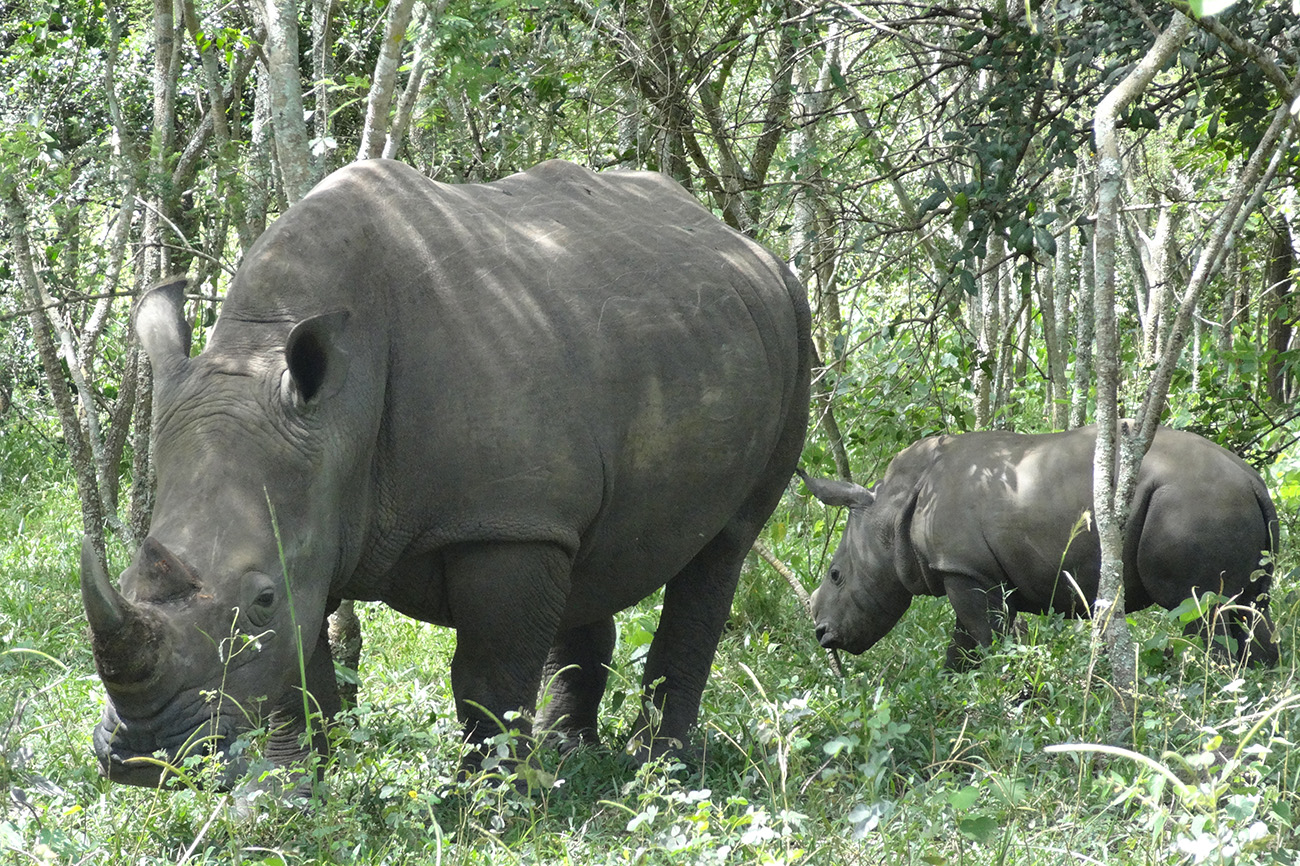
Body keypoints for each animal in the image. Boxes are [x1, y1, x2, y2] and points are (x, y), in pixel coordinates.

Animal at [81, 158, 806, 785]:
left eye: (259, 600)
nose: (143, 755)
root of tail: (744, 242)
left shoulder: (502, 522)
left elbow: (486, 678)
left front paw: (493, 805)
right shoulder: (319, 512)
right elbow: (302, 675)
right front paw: (298, 792)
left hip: (793, 325)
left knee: (723, 549)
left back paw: (657, 766)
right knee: (590, 551)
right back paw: (568, 754)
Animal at [800, 423, 1279, 665]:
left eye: (836, 575)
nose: (822, 635)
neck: (889, 507)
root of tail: (1252, 480)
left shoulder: (963, 569)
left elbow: (987, 640)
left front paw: (1005, 700)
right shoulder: (973, 571)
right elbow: (964, 644)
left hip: (1192, 504)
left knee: (1201, 612)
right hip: (1224, 504)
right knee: (1248, 610)